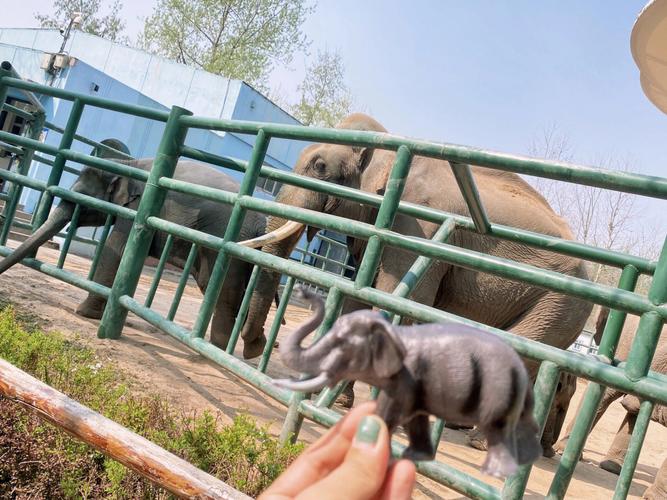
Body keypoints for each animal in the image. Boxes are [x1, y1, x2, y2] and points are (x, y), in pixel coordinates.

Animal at [0, 157, 272, 356]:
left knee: (223, 291)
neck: (127, 164)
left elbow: (117, 249)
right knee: (225, 287)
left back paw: (216, 349)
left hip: (228, 237)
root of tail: (262, 223)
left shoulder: (137, 208)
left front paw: (84, 313)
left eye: (79, 198)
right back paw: (254, 348)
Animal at [239, 113, 588, 454]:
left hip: (560, 305)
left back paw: (478, 440)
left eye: (320, 166)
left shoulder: (418, 226)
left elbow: (398, 299)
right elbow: (358, 298)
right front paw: (341, 400)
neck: (390, 143)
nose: (256, 344)